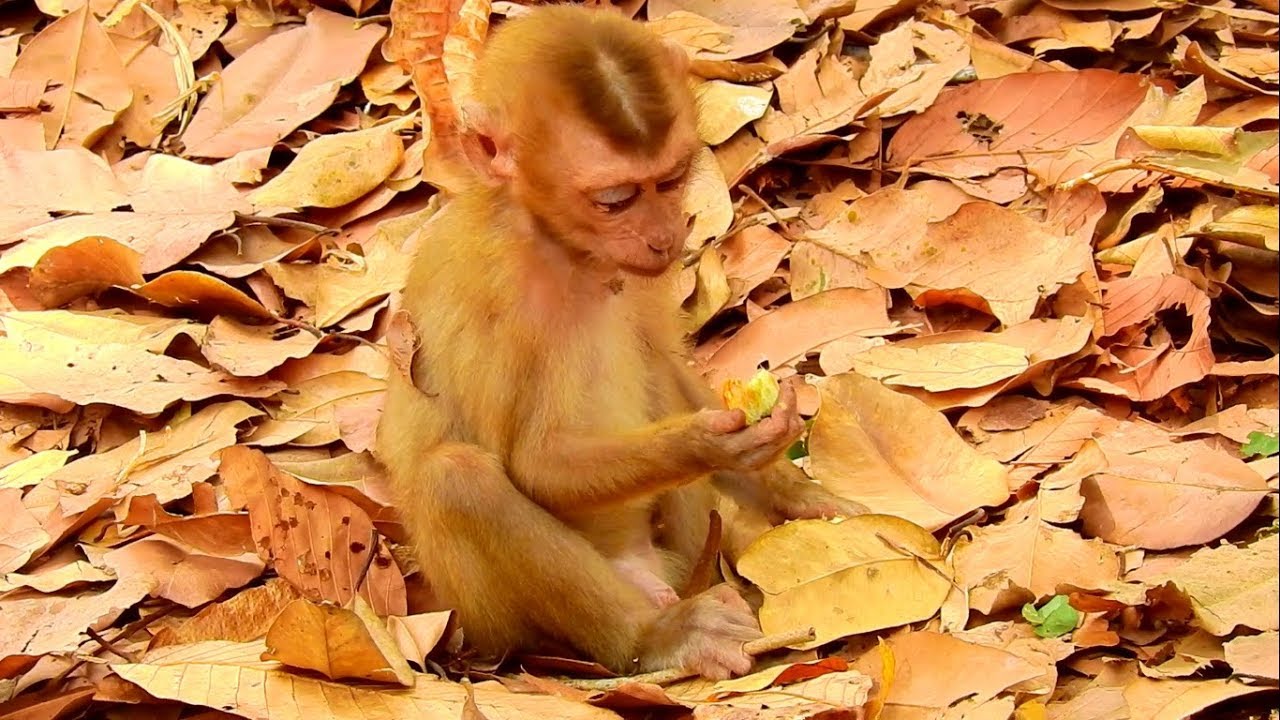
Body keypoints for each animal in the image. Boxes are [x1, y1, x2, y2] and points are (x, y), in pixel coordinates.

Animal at [375, 4, 866, 680]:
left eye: (673, 179)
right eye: (615, 200)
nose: (664, 236)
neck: (561, 248)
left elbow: (664, 358)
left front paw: (789, 486)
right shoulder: (497, 294)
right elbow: (534, 463)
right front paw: (702, 446)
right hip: (496, 623)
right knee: (458, 477)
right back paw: (656, 636)